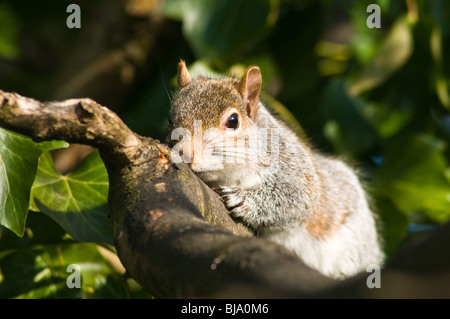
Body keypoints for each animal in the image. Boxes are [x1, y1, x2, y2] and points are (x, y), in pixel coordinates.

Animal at [167, 60, 384, 280]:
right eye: (170, 120)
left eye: (233, 121)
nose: (185, 153)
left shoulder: (294, 167)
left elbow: (298, 199)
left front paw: (243, 200)